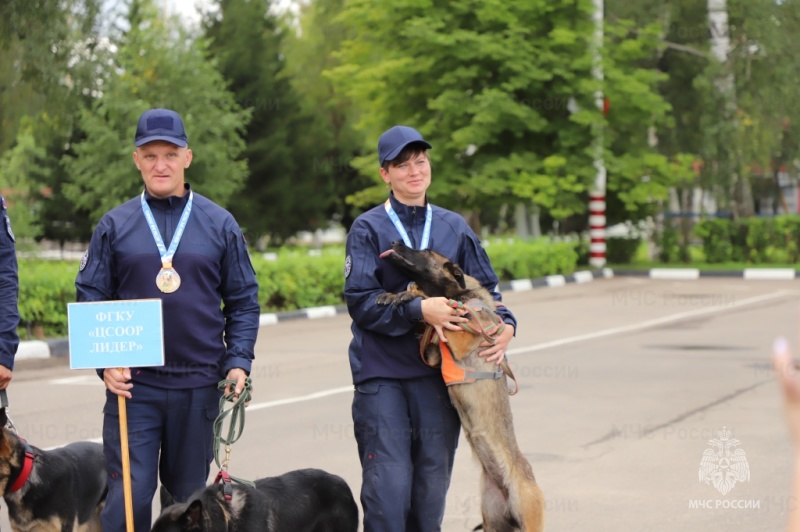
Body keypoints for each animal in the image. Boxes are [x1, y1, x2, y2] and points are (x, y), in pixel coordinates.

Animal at [380, 242, 544, 532]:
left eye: (425, 251)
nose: (394, 243)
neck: (460, 291)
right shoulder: (435, 352)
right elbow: (431, 320)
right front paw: (402, 295)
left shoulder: (460, 338)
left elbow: (445, 308)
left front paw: (413, 296)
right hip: (492, 519)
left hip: (529, 516)